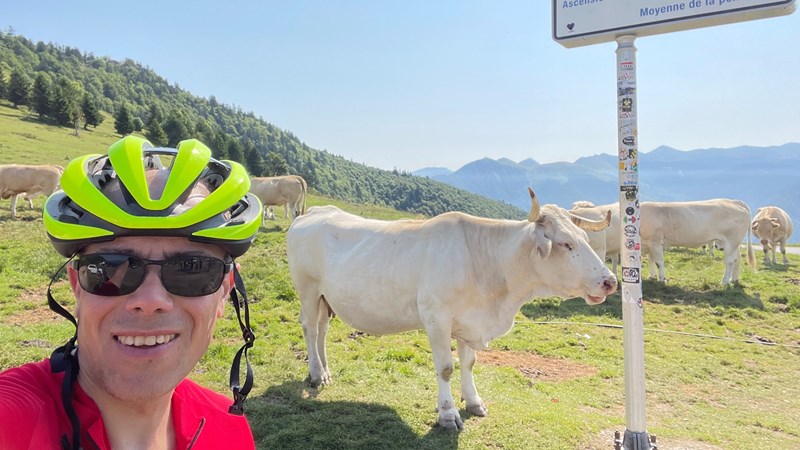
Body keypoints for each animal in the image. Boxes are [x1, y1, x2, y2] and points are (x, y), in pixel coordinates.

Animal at [286, 188, 617, 430]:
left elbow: (468, 363)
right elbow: (446, 367)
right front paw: (447, 414)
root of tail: (317, 211)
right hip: (307, 289)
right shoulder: (436, 318)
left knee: (322, 330)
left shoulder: (468, 321)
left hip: (326, 297)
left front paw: (474, 402)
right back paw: (315, 374)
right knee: (310, 328)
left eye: (585, 239)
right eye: (566, 244)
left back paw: (326, 371)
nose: (610, 281)